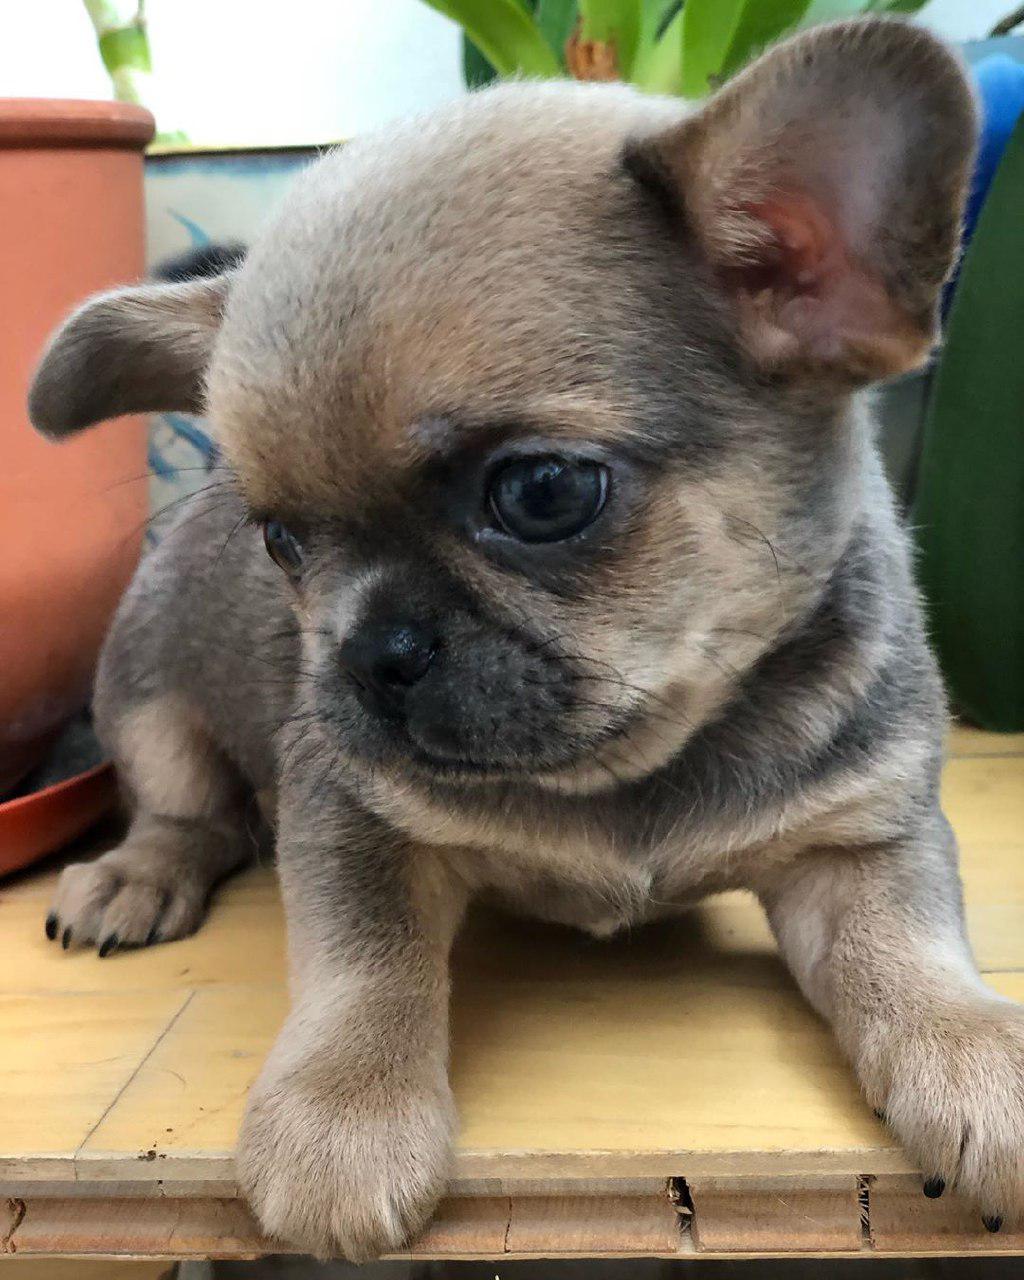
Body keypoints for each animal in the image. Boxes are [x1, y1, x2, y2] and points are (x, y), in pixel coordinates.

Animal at [25, 17, 1024, 1259]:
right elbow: (365, 971)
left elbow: (914, 957)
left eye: (544, 491)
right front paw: (344, 1115)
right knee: (187, 810)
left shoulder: (857, 845)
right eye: (282, 542)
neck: (627, 773)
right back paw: (139, 872)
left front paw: (975, 1051)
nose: (367, 650)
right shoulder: (355, 823)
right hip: (150, 701)